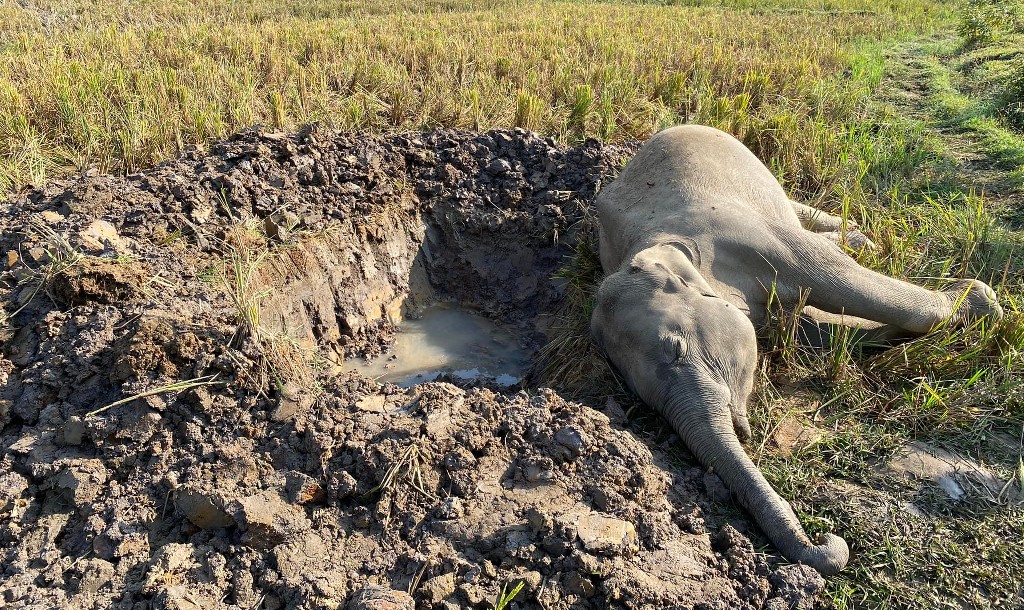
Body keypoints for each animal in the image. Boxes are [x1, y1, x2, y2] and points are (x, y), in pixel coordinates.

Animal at [589, 124, 1003, 577]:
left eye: (677, 348)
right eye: (638, 398)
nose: (827, 538)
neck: (650, 247)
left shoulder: (743, 232)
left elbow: (839, 279)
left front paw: (982, 304)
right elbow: (814, 329)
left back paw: (862, 240)